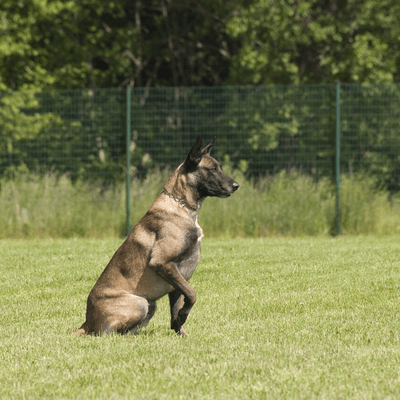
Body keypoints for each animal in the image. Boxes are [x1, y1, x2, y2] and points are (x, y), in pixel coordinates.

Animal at [74, 136, 239, 336]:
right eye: (213, 169)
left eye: (219, 167)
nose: (236, 186)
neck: (180, 204)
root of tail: (86, 322)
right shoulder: (163, 262)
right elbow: (192, 295)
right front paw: (183, 316)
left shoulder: (177, 279)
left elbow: (177, 308)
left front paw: (180, 329)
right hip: (140, 303)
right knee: (105, 333)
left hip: (150, 305)